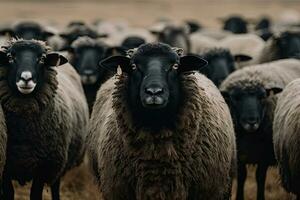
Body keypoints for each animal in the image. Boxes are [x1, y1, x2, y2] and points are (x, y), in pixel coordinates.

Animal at [0, 39, 89, 200]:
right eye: (10, 57)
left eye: (41, 58)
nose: (26, 78)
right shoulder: (5, 168)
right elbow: (9, 193)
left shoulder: (44, 167)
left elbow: (36, 194)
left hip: (60, 164)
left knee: (55, 186)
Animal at [219, 58, 300, 200]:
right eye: (236, 98)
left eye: (262, 97)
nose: (251, 121)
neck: (250, 138)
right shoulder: (240, 155)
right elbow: (242, 177)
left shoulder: (264, 155)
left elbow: (260, 177)